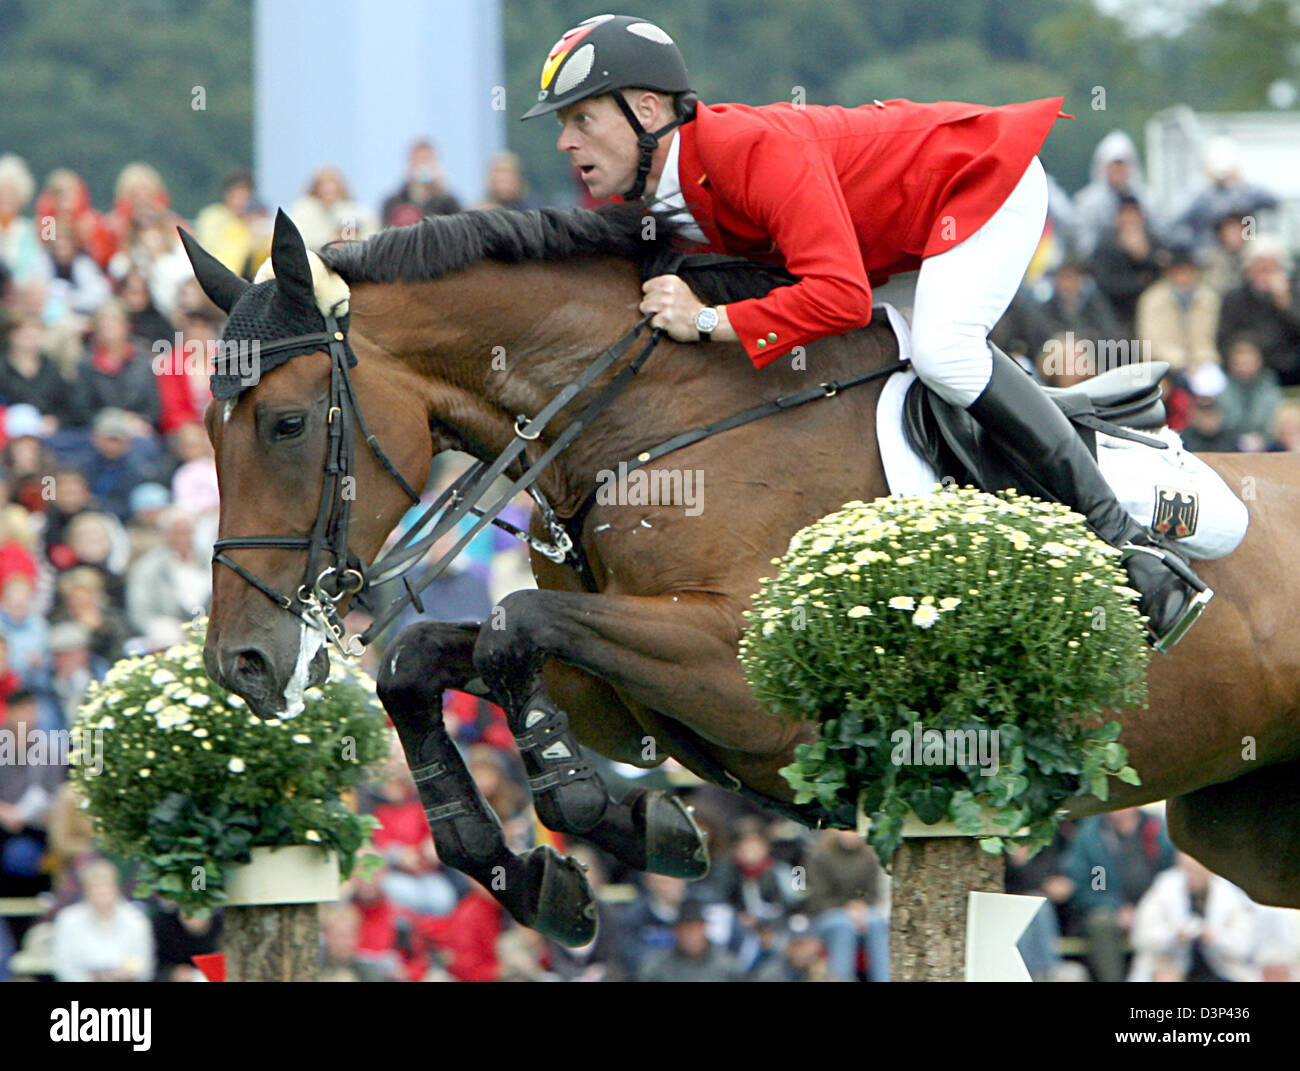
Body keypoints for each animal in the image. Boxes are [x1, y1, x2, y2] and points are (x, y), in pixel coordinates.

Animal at [189, 205, 1300, 941]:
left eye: (285, 424)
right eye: (207, 428)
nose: (243, 665)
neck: (657, 421)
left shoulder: (750, 684)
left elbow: (513, 626)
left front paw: (607, 817)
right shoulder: (605, 694)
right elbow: (426, 656)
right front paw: (535, 866)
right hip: (1240, 829)